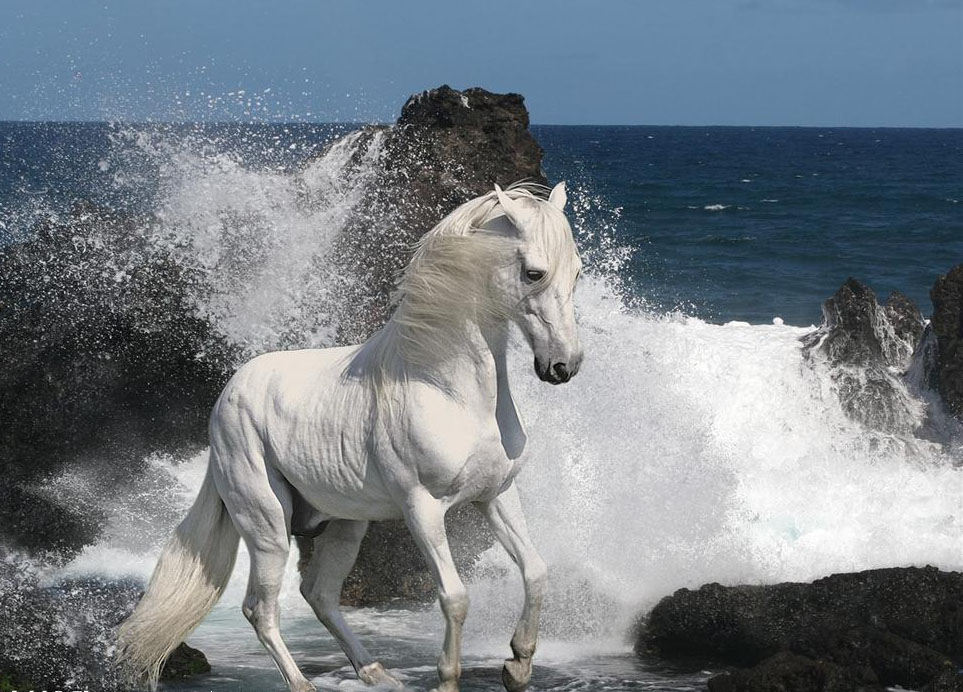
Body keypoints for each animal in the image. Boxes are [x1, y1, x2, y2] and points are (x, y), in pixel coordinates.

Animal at [116, 181, 583, 692]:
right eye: (534, 272)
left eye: (577, 272)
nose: (563, 366)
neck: (447, 388)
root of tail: (227, 396)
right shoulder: (421, 509)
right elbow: (455, 597)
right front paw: (450, 678)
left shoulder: (495, 495)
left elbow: (536, 571)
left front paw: (517, 665)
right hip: (267, 525)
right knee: (260, 608)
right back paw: (303, 684)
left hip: (345, 523)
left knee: (318, 593)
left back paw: (376, 672)